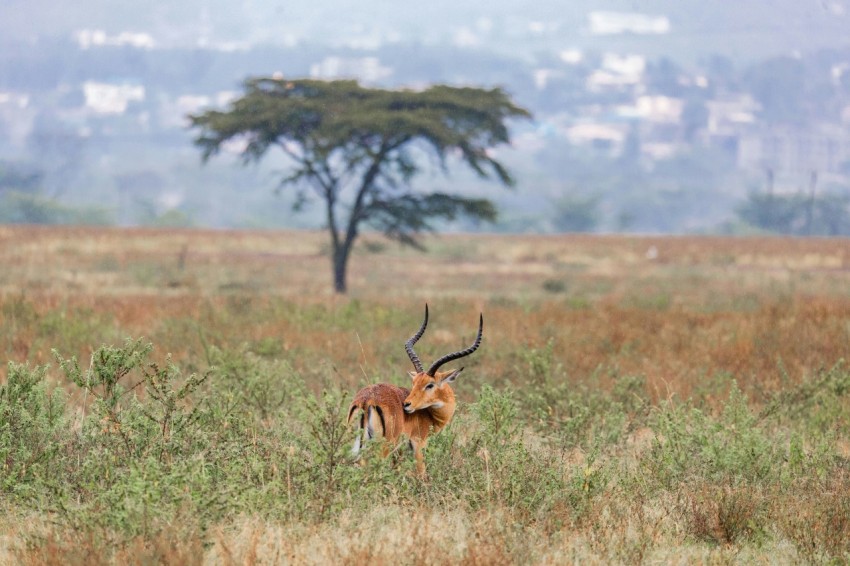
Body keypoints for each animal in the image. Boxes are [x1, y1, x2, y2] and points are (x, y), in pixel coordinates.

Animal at [347, 304, 483, 477]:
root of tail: (366, 400)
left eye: (429, 384)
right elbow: (422, 474)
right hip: (384, 447)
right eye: (415, 382)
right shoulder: (418, 446)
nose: (407, 404)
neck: (430, 415)